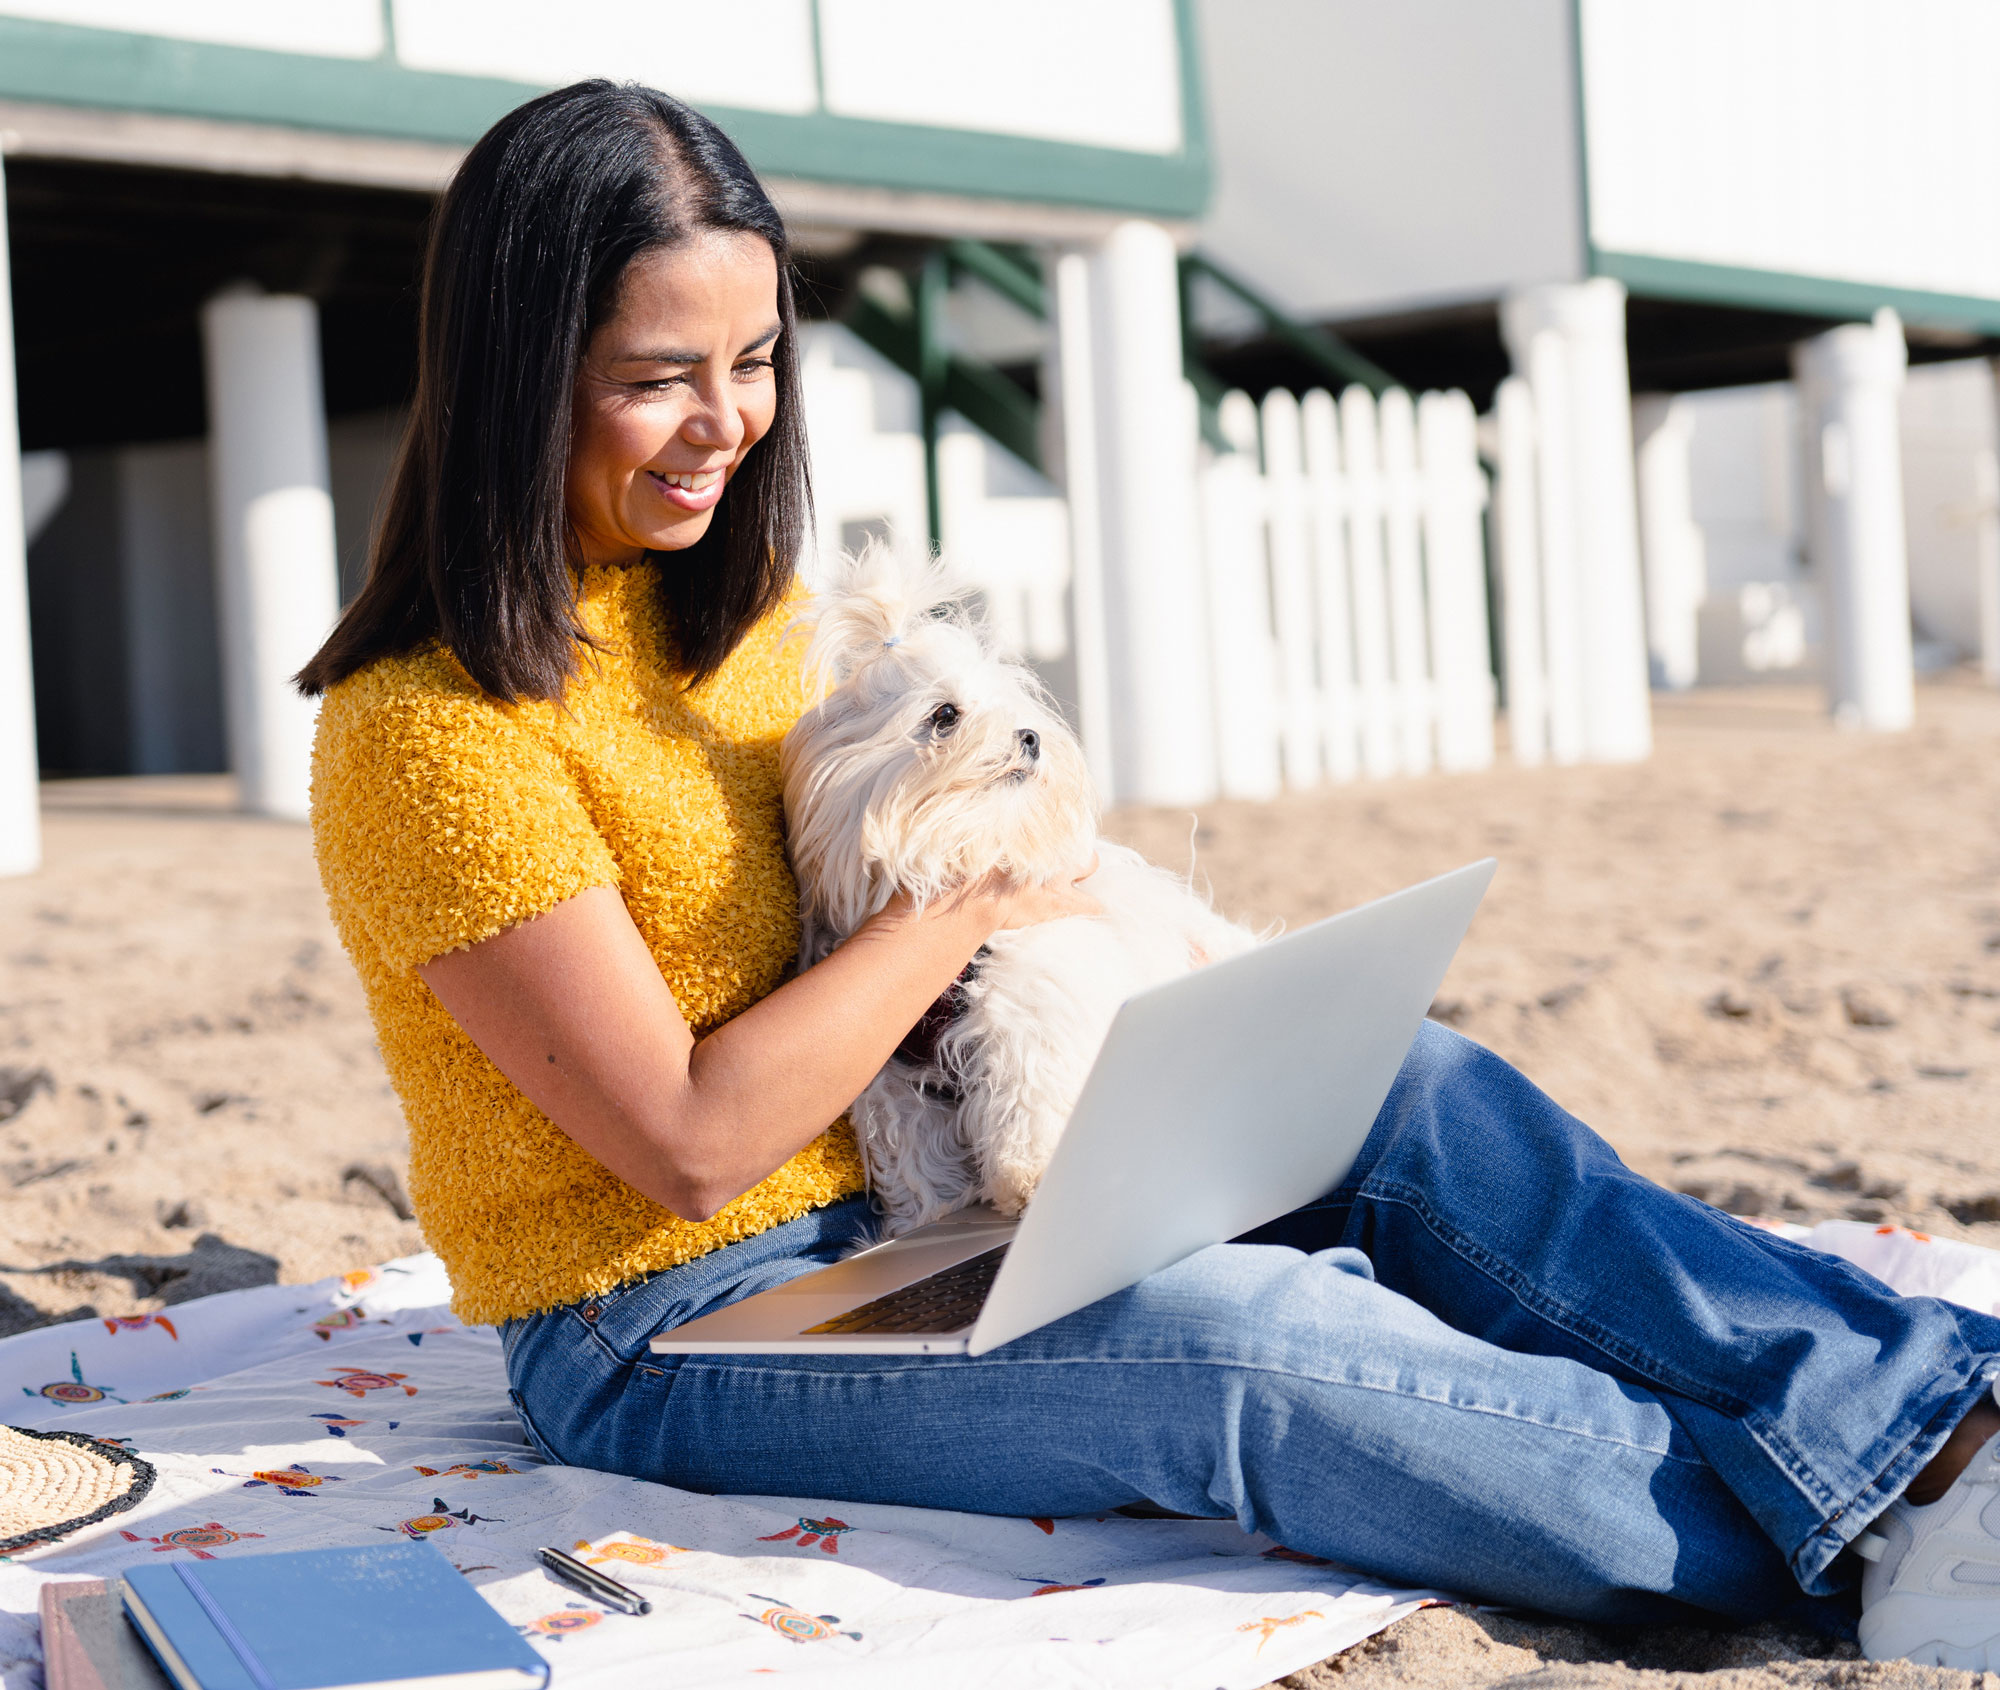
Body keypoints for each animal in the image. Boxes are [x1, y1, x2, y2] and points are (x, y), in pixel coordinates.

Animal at [776, 548, 1248, 1232]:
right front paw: (932, 1213)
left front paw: (1028, 1178)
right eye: (944, 716)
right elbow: (914, 1152)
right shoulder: (893, 1075)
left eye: (1014, 712)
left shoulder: (1031, 992)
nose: (1031, 737)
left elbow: (1029, 1088)